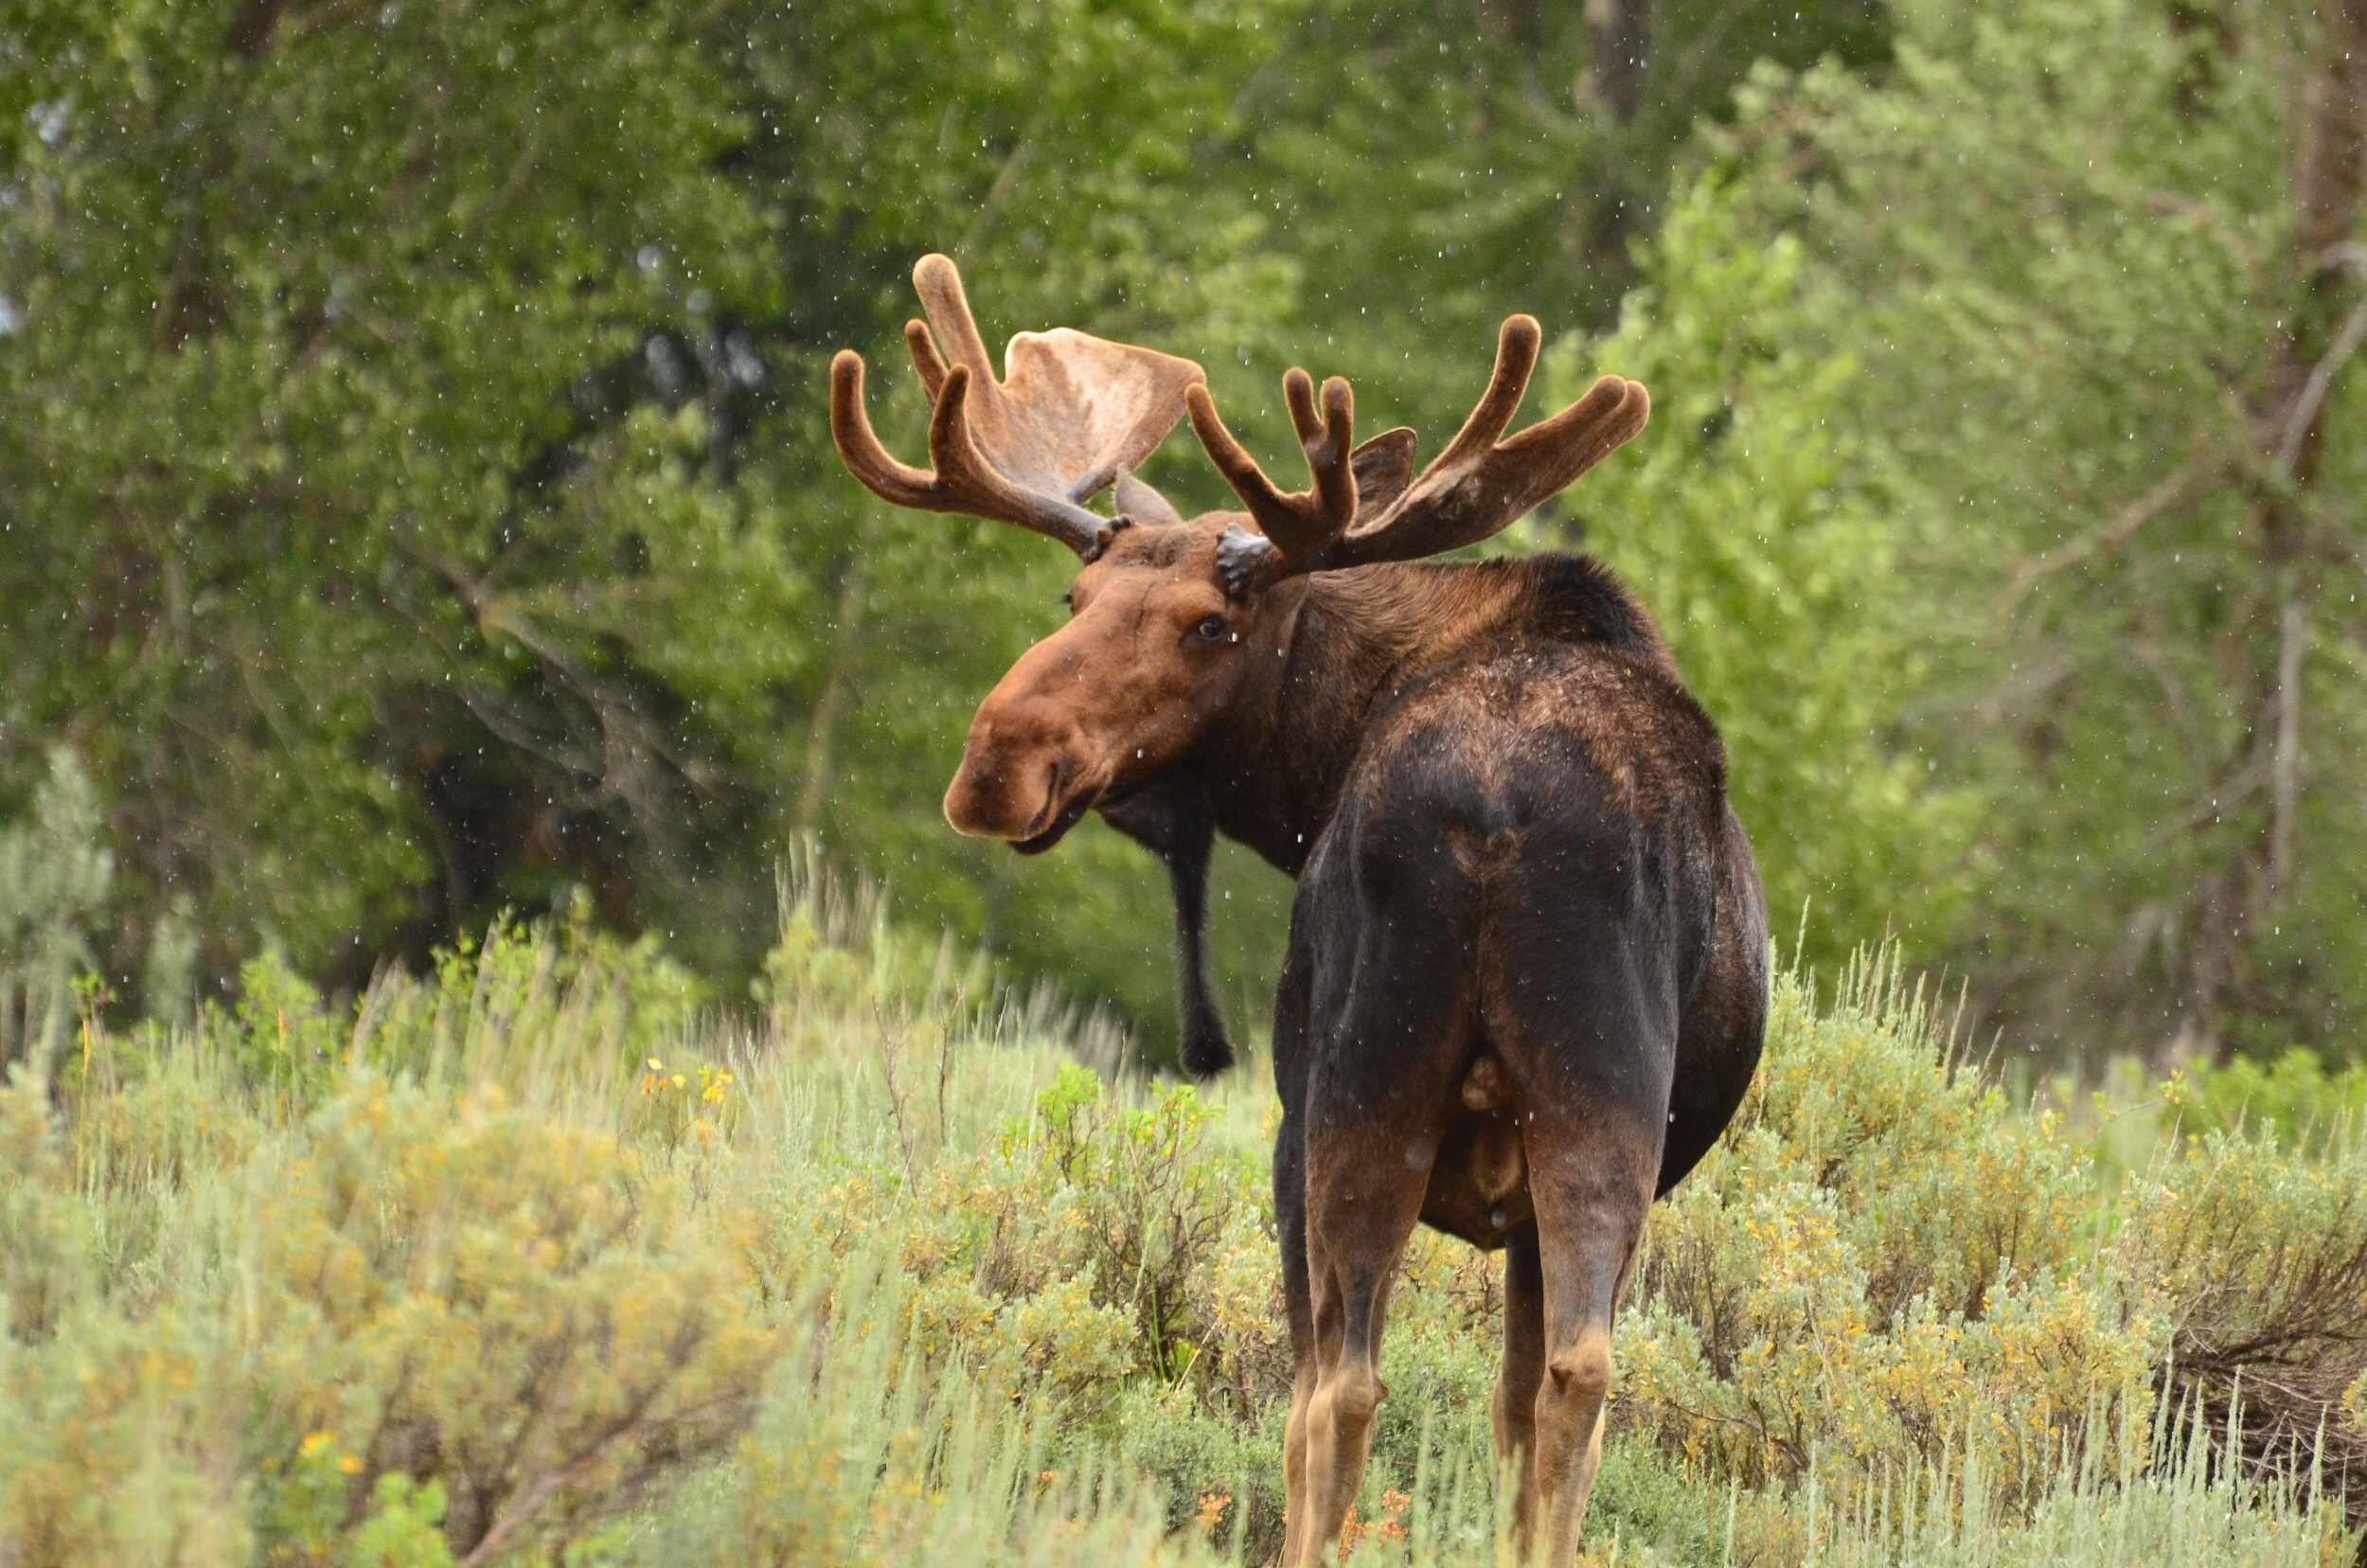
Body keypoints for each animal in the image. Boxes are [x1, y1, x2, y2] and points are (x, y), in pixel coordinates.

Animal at [830, 255, 1768, 1566]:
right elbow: (1509, 1408)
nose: (996, 760)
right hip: (1582, 1104)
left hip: (1351, 1097)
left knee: (1335, 1387)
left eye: (1209, 625)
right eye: (1072, 593)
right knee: (1567, 1375)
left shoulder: (1291, 1110)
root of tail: (1492, 816)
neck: (1316, 762)